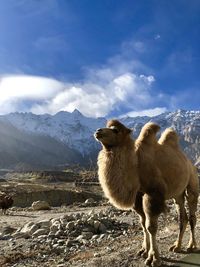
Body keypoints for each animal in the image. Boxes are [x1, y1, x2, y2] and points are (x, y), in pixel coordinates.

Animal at [94, 121, 199, 267]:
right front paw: (144, 250)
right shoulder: (138, 196)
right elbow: (143, 224)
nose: (98, 131)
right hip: (177, 194)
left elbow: (151, 227)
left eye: (115, 130)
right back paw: (176, 246)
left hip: (192, 184)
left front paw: (153, 258)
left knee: (192, 216)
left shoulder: (152, 194)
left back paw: (191, 246)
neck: (136, 164)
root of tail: (190, 163)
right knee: (182, 217)